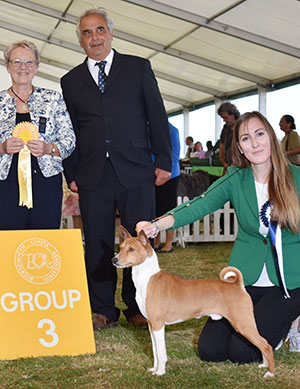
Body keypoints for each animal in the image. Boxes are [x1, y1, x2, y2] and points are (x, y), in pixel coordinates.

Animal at [111, 226, 276, 378]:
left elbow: (161, 353)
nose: (114, 260)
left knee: (266, 345)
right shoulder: (151, 325)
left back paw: (271, 373)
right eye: (120, 248)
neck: (148, 278)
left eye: (131, 249)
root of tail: (237, 285)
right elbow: (155, 352)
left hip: (242, 323)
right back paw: (264, 365)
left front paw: (161, 372)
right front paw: (154, 369)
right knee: (263, 343)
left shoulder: (158, 324)